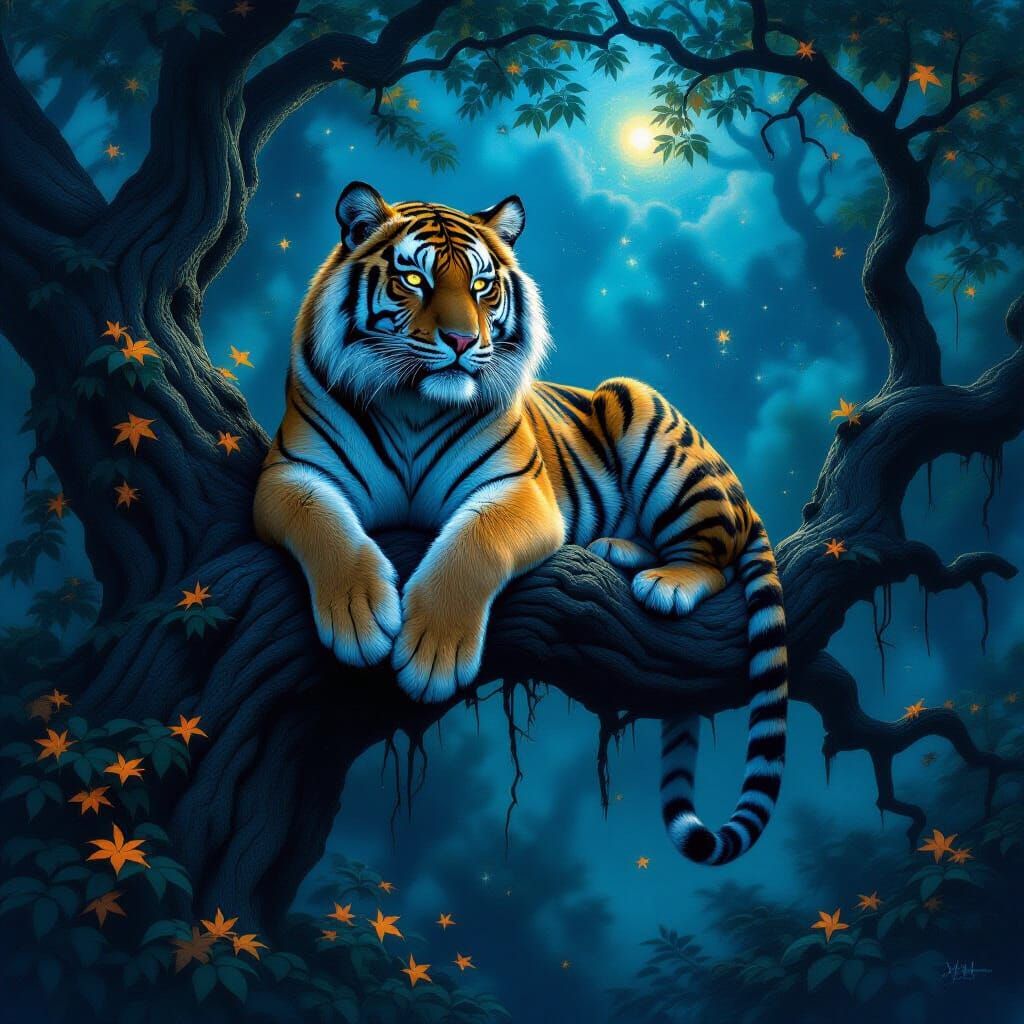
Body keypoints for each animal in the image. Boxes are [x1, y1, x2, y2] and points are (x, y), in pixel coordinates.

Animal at [253, 182, 788, 866]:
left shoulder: (520, 491)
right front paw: (358, 615)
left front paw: (433, 653)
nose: (461, 342)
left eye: (482, 286)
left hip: (645, 414)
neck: (413, 405)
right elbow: (323, 524)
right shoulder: (290, 473)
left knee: (715, 553)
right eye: (414, 279)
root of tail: (744, 494)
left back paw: (667, 581)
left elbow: (475, 542)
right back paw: (620, 550)